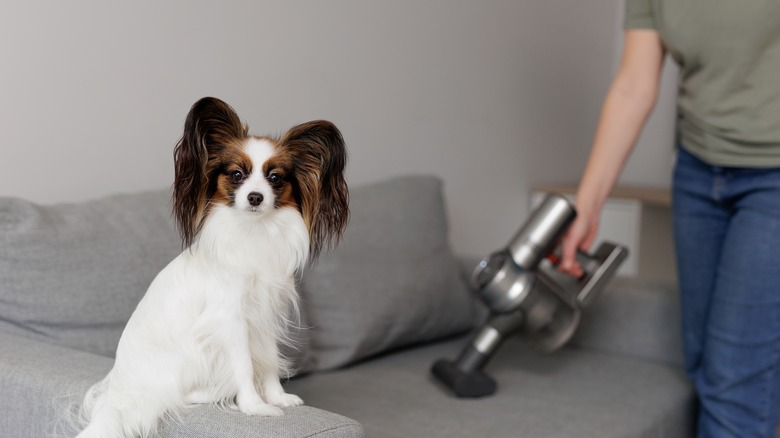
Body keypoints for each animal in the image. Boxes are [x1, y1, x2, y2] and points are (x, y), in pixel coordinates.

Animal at [77, 97, 350, 438]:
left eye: (275, 178)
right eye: (236, 174)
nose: (255, 197)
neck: (253, 233)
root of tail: (118, 394)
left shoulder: (264, 316)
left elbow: (269, 360)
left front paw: (277, 398)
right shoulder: (231, 320)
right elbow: (245, 366)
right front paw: (254, 406)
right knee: (176, 396)